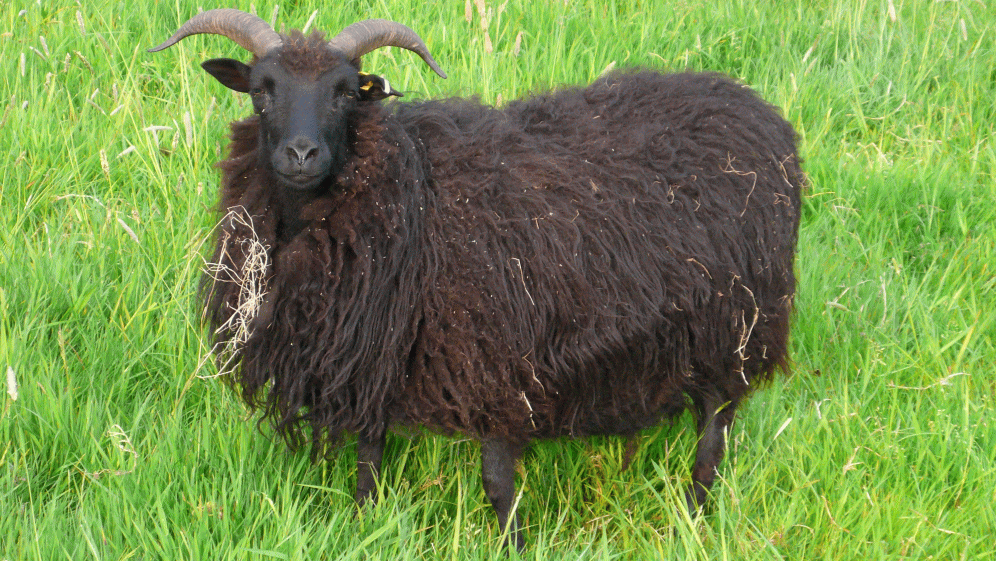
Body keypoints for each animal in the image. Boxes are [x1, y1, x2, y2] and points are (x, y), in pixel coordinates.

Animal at [150, 8, 800, 548]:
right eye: (262, 90)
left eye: (346, 94)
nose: (302, 154)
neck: (407, 188)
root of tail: (754, 107)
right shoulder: (375, 358)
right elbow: (368, 459)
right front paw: (362, 527)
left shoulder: (494, 361)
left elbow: (496, 482)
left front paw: (515, 545)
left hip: (736, 328)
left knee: (714, 433)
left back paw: (694, 513)